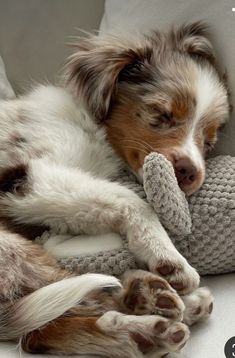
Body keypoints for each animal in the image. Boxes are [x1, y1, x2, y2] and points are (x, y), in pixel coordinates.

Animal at [0, 21, 229, 356]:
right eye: (162, 114)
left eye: (209, 142)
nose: (190, 172)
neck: (88, 126)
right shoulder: (27, 175)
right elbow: (130, 197)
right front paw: (168, 257)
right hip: (9, 250)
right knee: (58, 309)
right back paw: (154, 320)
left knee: (45, 325)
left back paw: (148, 305)